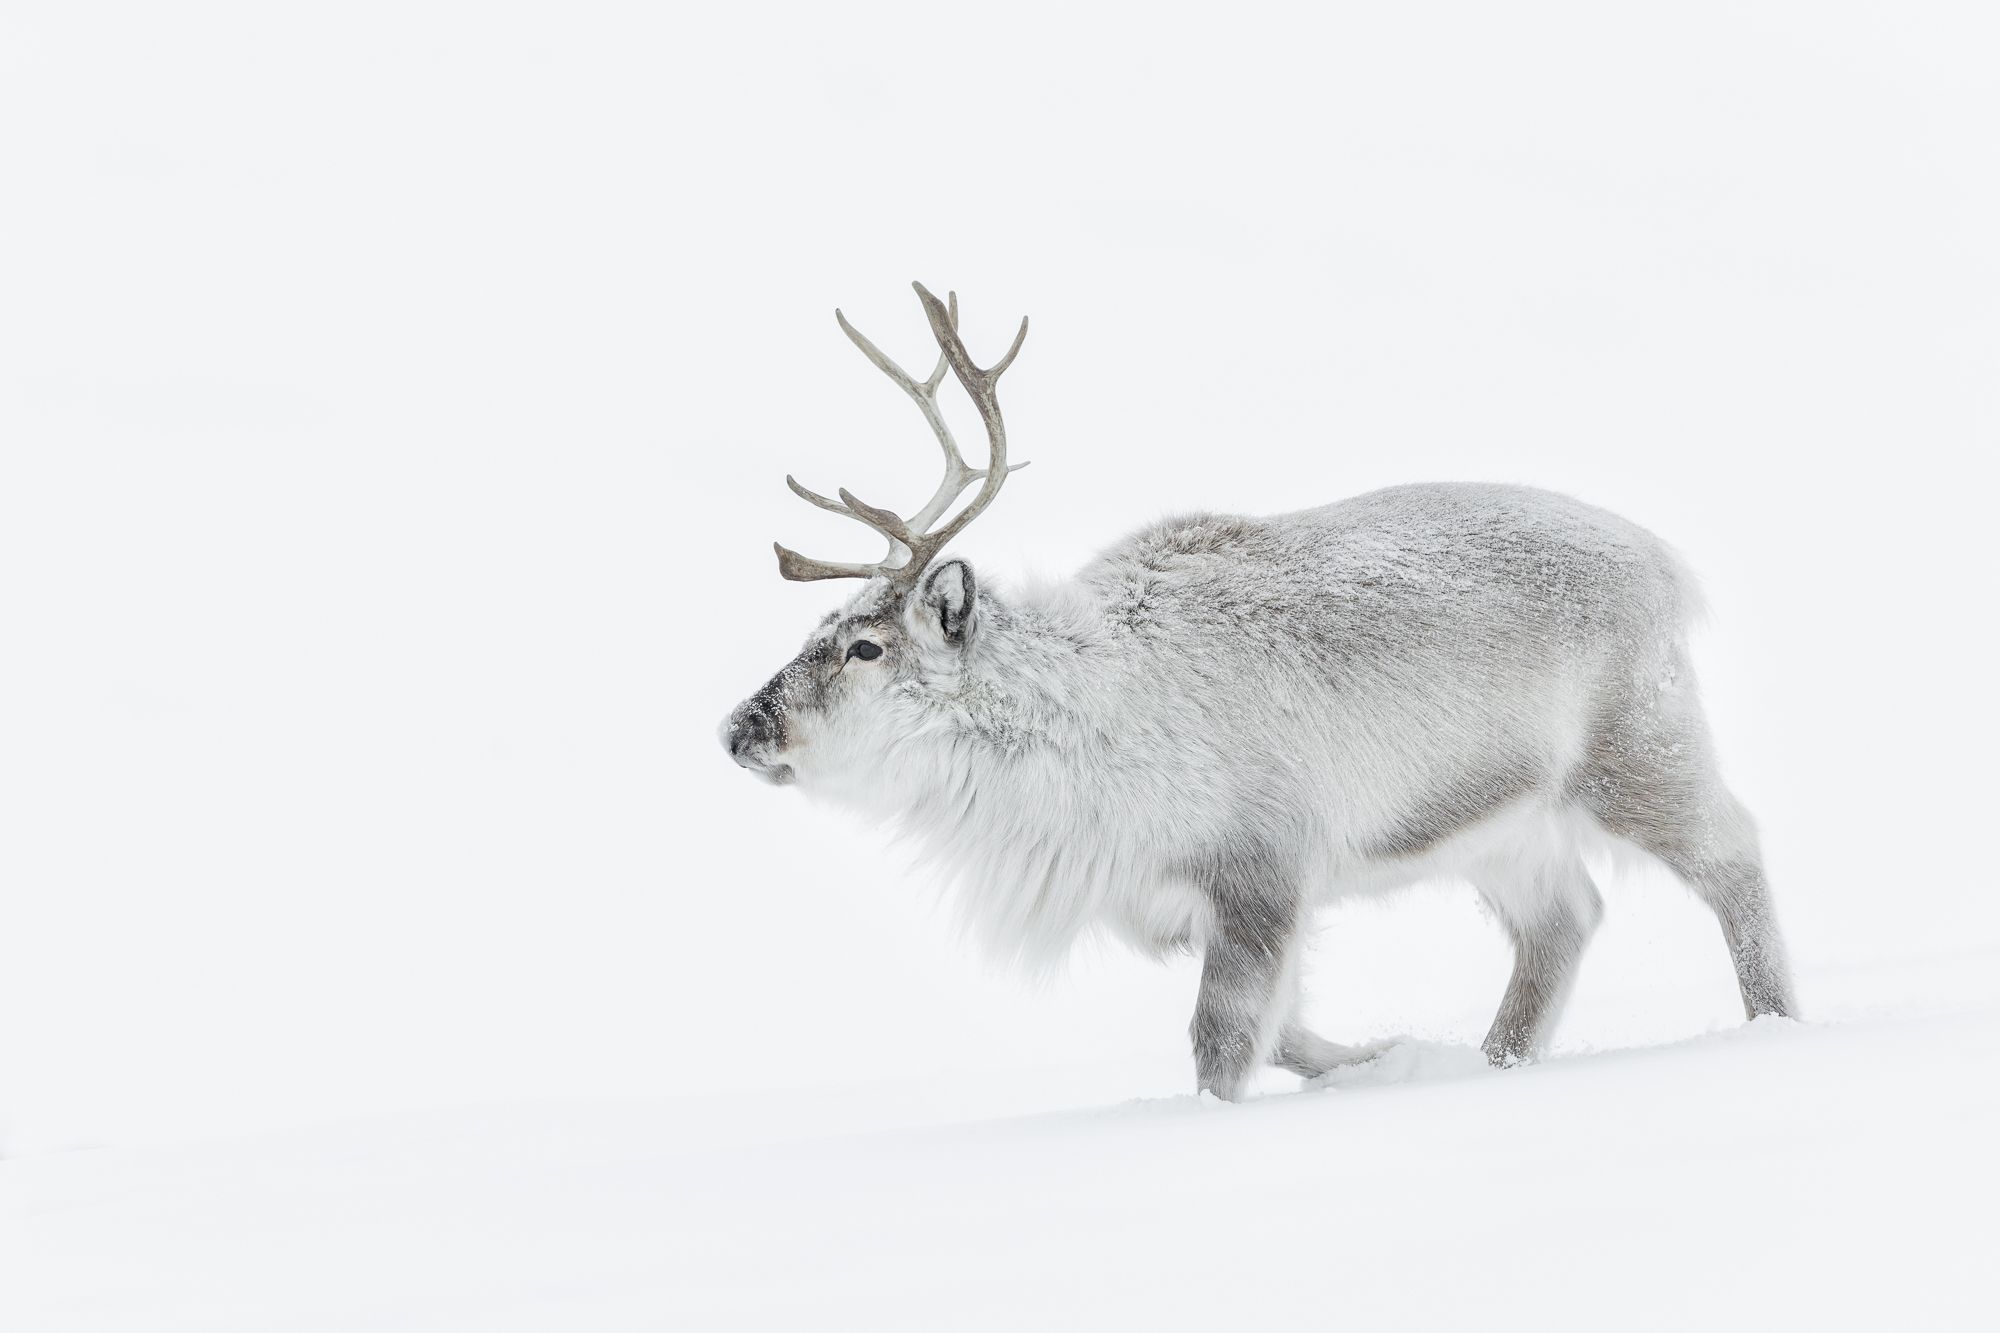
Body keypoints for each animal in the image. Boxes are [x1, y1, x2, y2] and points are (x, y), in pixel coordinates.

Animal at [720, 282, 1797, 1101]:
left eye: (863, 646)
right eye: (817, 631)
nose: (737, 727)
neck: (1073, 737)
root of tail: (1666, 562)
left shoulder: (1261, 870)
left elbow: (1224, 1039)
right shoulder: (1169, 904)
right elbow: (1282, 1033)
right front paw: (1378, 1054)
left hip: (1636, 748)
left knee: (1732, 855)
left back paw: (1775, 1024)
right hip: (1497, 821)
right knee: (1563, 917)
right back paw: (1493, 1061)